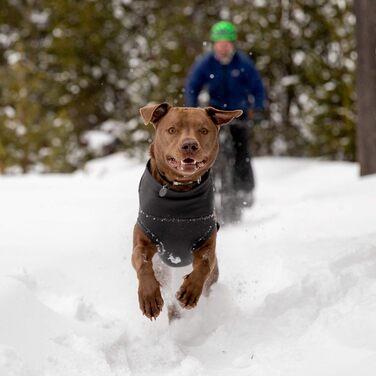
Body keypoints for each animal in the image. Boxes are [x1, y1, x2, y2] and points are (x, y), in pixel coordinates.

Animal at [134, 103, 242, 320]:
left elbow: (204, 263)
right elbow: (141, 260)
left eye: (203, 130)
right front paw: (149, 297)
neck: (179, 192)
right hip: (164, 270)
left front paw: (190, 291)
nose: (189, 145)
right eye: (172, 129)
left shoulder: (207, 240)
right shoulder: (143, 237)